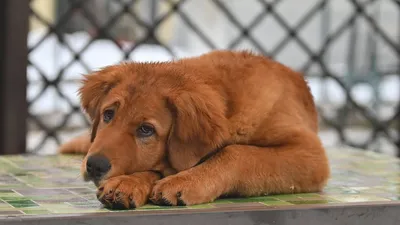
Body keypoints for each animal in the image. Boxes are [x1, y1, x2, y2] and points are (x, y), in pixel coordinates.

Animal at [58, 50, 328, 209]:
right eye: (108, 115)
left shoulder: (309, 153)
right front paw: (128, 183)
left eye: (146, 130)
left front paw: (185, 182)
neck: (229, 102)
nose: (94, 166)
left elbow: (237, 152)